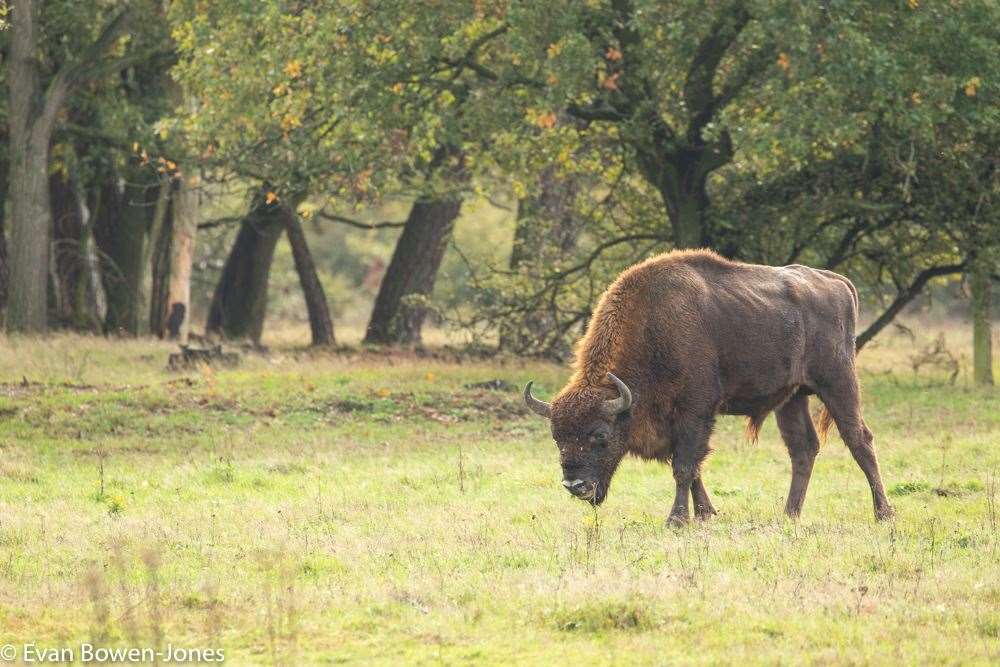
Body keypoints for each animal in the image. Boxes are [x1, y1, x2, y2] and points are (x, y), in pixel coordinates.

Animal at [528, 248, 896, 524]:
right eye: (557, 437)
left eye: (600, 436)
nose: (575, 485)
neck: (653, 328)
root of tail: (838, 281)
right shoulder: (677, 423)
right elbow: (691, 468)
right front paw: (706, 514)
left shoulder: (695, 411)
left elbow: (685, 466)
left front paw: (677, 520)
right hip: (791, 398)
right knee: (803, 448)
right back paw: (789, 514)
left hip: (838, 383)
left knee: (860, 440)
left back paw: (883, 514)